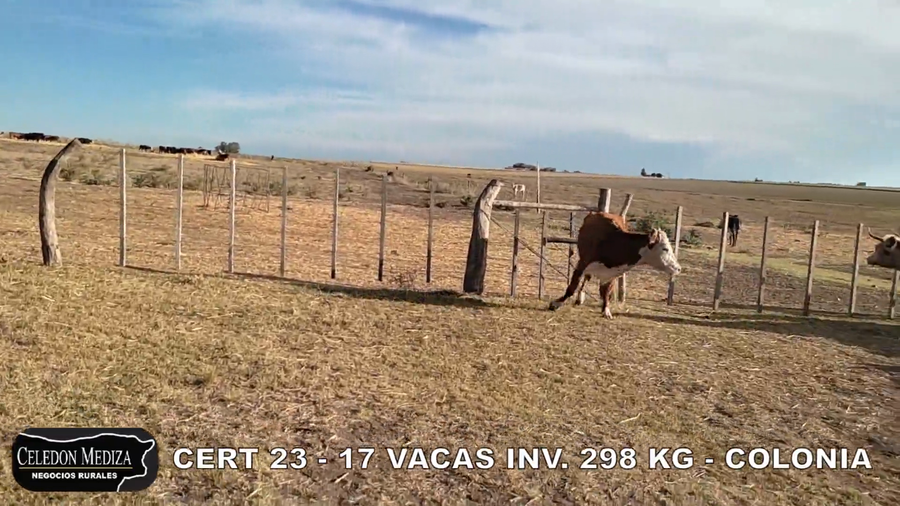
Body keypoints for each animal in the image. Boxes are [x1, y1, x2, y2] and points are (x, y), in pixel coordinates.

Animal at [549, 212, 681, 318]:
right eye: (665, 248)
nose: (678, 268)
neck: (612, 243)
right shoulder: (582, 263)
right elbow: (572, 286)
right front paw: (556, 303)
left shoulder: (613, 273)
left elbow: (607, 292)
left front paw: (606, 311)